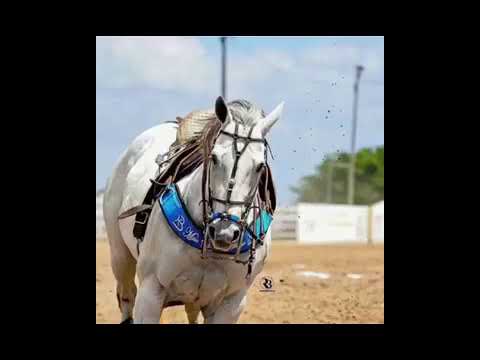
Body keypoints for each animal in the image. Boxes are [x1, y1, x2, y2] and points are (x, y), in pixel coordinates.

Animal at [103, 97, 284, 324]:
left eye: (260, 166)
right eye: (214, 157)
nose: (224, 233)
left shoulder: (232, 302)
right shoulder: (150, 291)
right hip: (120, 256)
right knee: (126, 295)